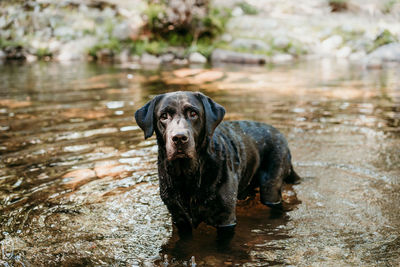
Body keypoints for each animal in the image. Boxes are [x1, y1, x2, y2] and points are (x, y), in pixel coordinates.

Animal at [135, 92, 300, 239]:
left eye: (193, 113)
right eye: (163, 116)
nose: (179, 138)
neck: (188, 175)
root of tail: (278, 132)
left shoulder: (226, 219)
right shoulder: (179, 218)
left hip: (271, 186)